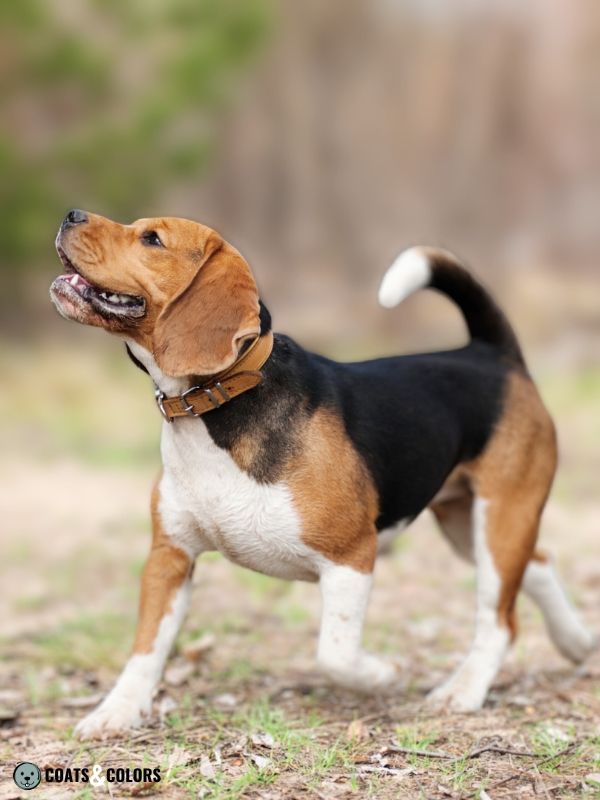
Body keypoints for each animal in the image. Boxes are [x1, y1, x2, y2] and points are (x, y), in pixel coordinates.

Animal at [49, 211, 592, 736]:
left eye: (153, 239)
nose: (71, 214)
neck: (216, 403)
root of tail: (490, 353)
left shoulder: (351, 556)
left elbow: (334, 654)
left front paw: (384, 674)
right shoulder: (169, 556)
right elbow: (146, 648)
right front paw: (117, 712)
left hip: (502, 515)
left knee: (499, 619)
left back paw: (464, 690)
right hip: (468, 524)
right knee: (539, 565)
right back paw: (577, 642)